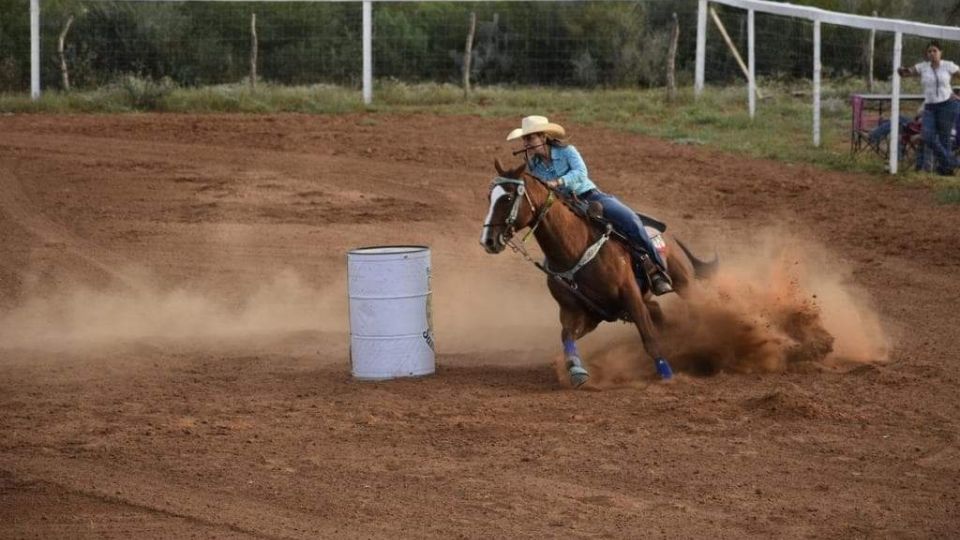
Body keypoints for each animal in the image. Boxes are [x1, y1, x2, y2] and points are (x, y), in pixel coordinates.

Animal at [484, 159, 716, 388]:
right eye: (489, 197)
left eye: (507, 197)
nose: (488, 240)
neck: (575, 247)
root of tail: (669, 236)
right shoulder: (583, 313)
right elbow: (566, 335)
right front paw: (577, 371)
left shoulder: (631, 296)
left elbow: (649, 338)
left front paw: (667, 375)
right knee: (658, 312)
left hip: (684, 283)